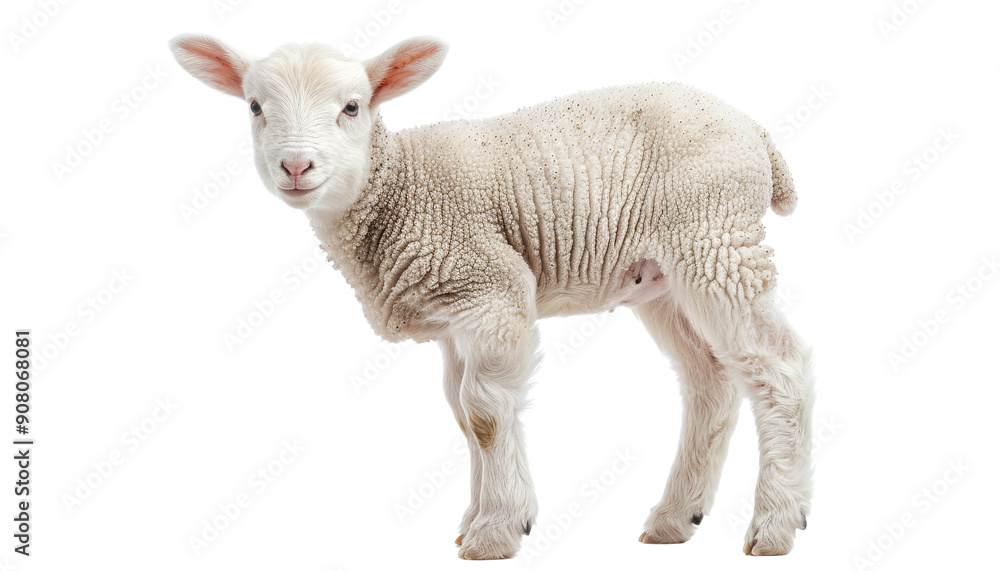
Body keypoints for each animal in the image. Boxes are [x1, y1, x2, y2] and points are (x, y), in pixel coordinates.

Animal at [169, 33, 814, 560]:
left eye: (352, 107)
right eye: (255, 107)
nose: (296, 166)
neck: (397, 185)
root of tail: (756, 132)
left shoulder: (491, 288)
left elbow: (482, 412)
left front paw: (497, 531)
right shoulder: (454, 317)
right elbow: (460, 412)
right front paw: (476, 519)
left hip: (715, 240)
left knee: (779, 366)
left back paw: (776, 524)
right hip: (664, 275)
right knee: (710, 380)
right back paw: (675, 519)